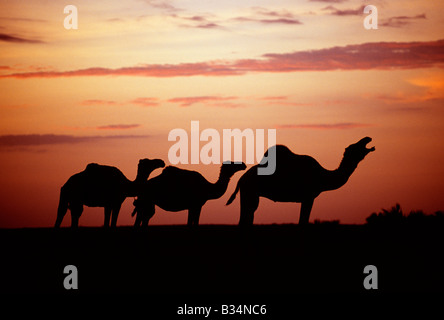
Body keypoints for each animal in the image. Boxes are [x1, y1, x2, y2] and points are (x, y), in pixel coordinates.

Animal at [225, 137, 374, 225]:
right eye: (355, 146)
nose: (367, 138)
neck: (323, 176)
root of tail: (241, 179)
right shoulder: (308, 197)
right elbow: (303, 222)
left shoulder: (306, 198)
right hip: (250, 192)